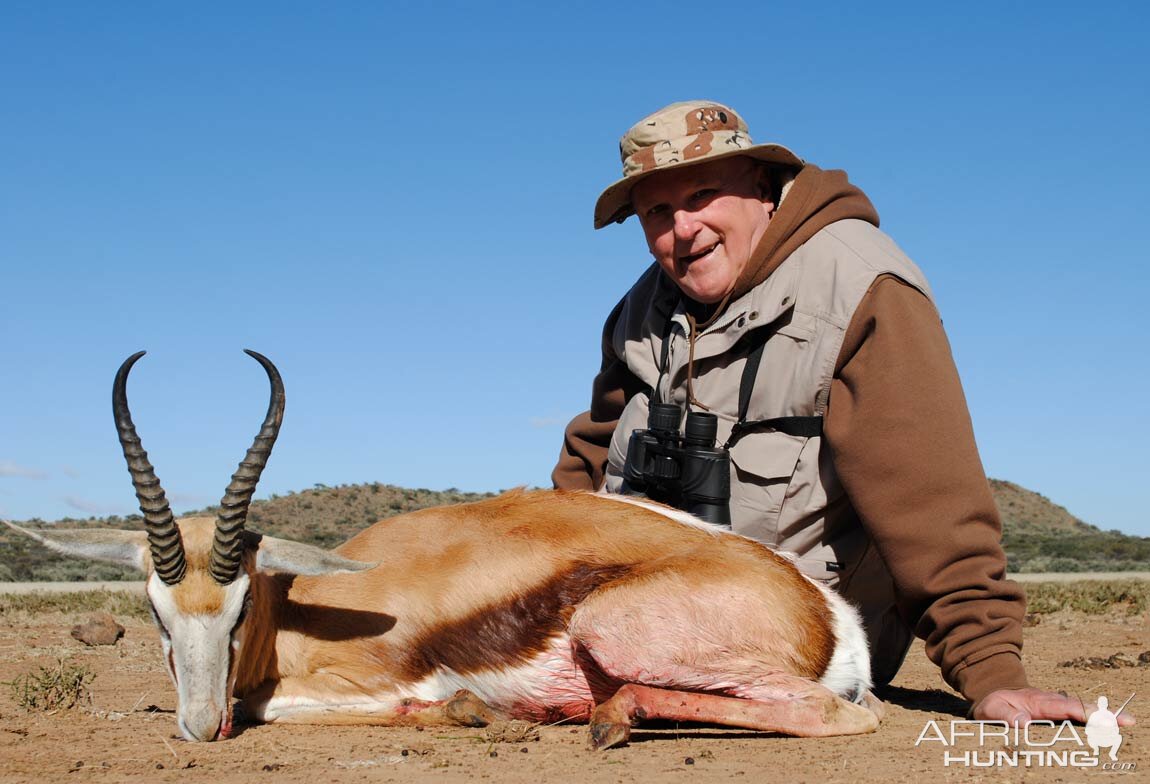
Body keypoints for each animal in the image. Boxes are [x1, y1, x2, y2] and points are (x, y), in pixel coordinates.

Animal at [6, 349, 878, 744]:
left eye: (241, 603)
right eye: (155, 611)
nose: (196, 725)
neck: (307, 611)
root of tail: (830, 616)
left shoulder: (364, 682)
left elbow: (273, 702)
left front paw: (452, 706)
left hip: (610, 628)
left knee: (836, 713)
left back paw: (602, 717)